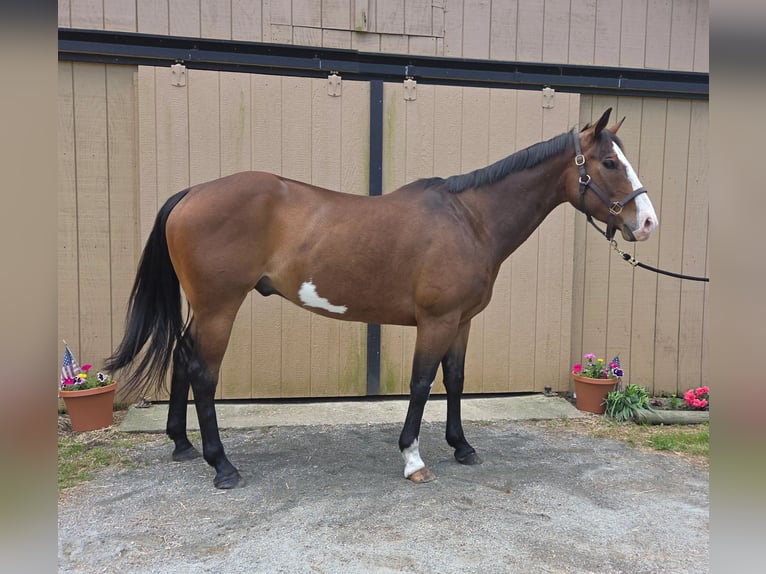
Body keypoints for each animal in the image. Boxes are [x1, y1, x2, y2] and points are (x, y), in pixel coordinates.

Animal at [105, 108, 658, 489]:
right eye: (610, 162)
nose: (648, 222)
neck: (470, 220)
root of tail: (192, 193)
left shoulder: (461, 322)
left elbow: (455, 381)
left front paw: (462, 446)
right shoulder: (436, 321)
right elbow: (421, 384)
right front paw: (413, 459)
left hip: (204, 309)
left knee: (182, 356)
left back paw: (181, 444)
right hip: (220, 307)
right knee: (203, 372)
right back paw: (221, 465)